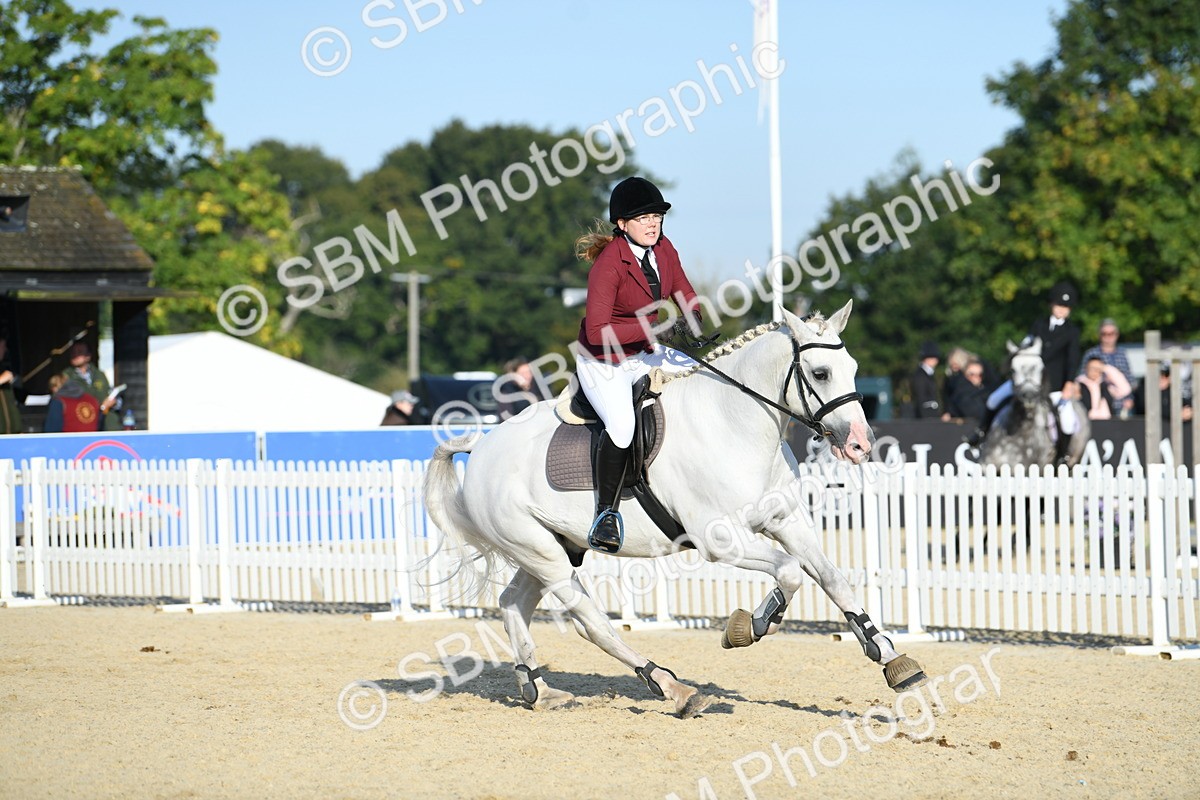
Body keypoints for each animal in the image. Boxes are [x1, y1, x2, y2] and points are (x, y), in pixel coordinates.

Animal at [423, 301, 927, 717]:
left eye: (852, 368)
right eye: (820, 373)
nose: (861, 444)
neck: (735, 423)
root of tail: (481, 446)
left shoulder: (787, 522)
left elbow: (832, 579)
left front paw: (890, 657)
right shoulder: (719, 540)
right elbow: (789, 572)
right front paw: (749, 626)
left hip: (553, 548)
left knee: (513, 604)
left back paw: (540, 690)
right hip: (542, 555)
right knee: (592, 623)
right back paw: (671, 687)